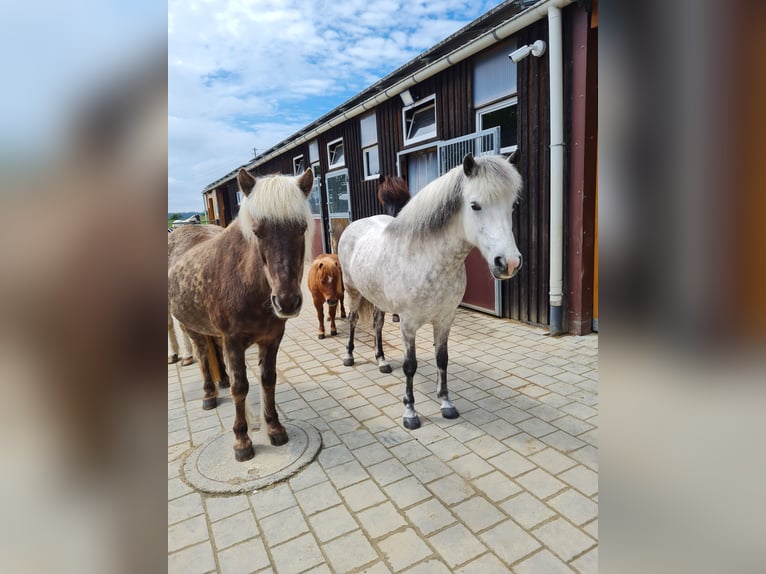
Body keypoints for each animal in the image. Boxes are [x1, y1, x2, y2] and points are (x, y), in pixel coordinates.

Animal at [168, 168, 312, 464]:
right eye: (257, 232)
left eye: (301, 228)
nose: (287, 302)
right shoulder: (233, 341)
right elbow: (241, 387)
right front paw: (242, 440)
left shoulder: (272, 338)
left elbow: (268, 379)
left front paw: (274, 427)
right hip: (191, 327)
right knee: (202, 355)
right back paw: (209, 394)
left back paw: (220, 380)